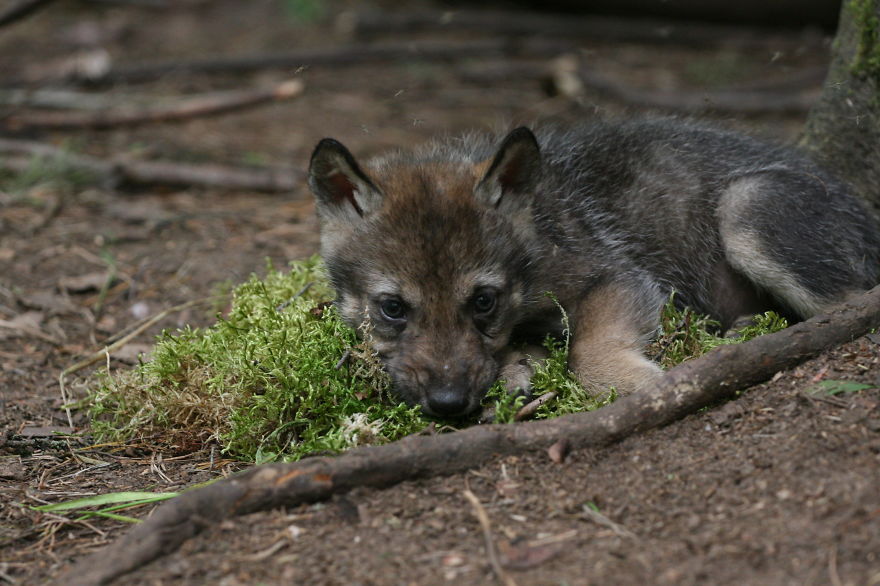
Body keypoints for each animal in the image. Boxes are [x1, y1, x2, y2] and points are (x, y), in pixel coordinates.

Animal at [307, 119, 880, 417]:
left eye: (484, 301)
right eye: (392, 308)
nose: (448, 404)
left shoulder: (615, 275)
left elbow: (588, 350)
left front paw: (639, 384)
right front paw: (519, 366)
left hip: (747, 207)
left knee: (850, 306)